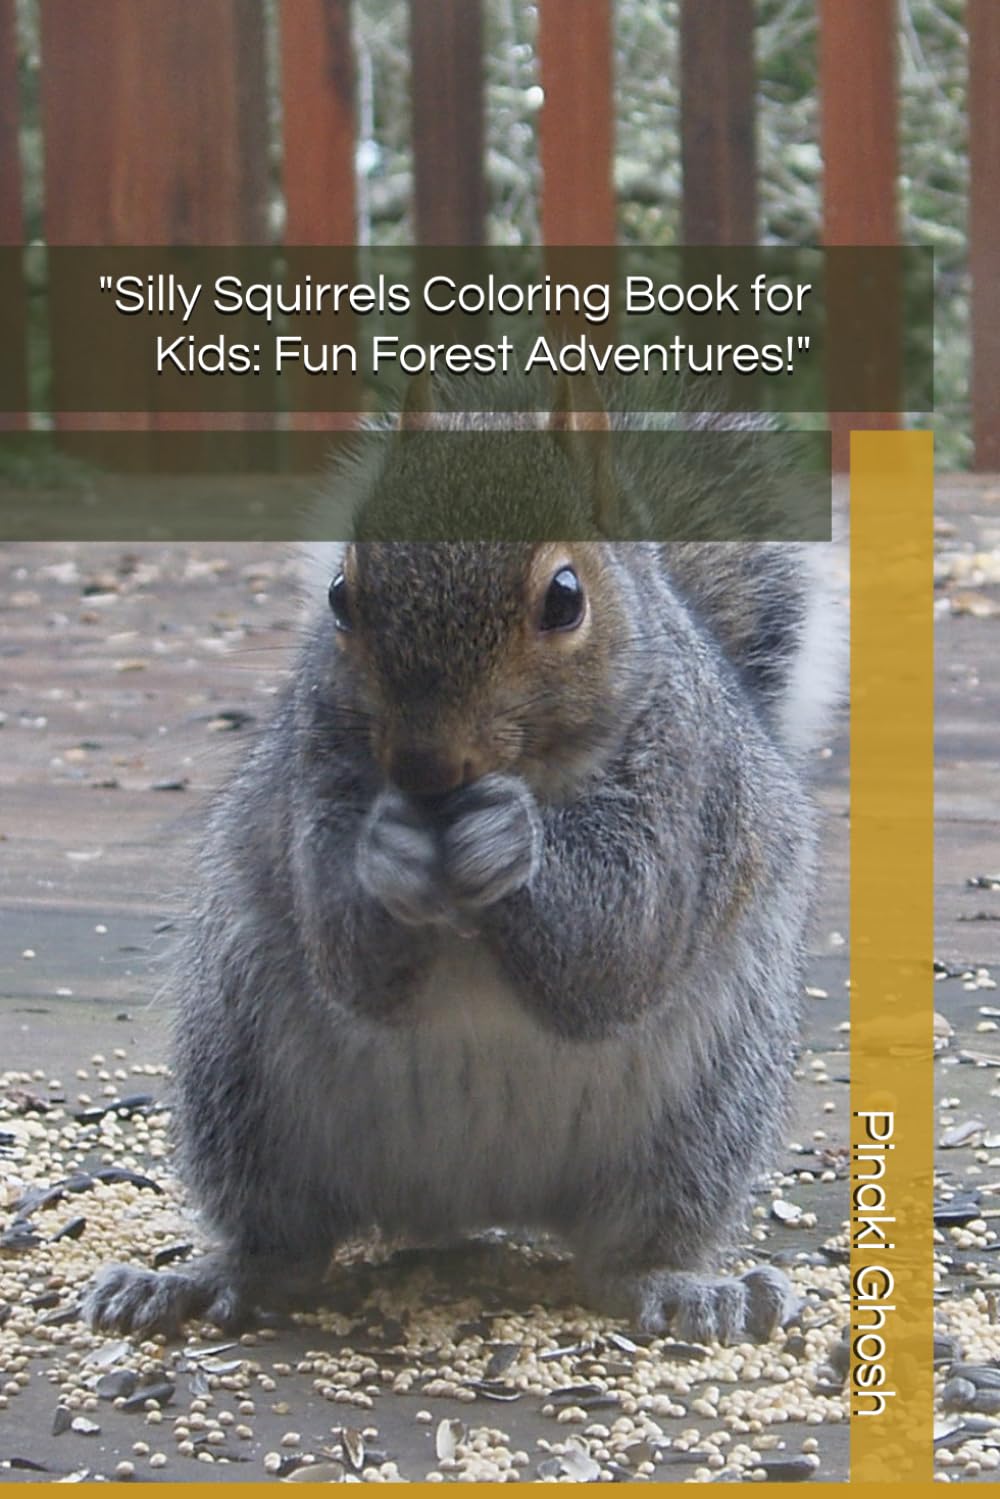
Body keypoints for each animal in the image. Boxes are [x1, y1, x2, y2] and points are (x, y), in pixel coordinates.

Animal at [86, 371, 843, 1345]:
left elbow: (617, 946)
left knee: (626, 1251)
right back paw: (197, 1280)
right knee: (283, 1243)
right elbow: (348, 952)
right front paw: (386, 852)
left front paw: (507, 840)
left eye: (565, 597)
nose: (423, 766)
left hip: (704, 1117)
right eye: (340, 593)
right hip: (242, 1088)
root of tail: (470, 1199)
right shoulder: (315, 778)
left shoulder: (689, 795)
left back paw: (683, 1287)